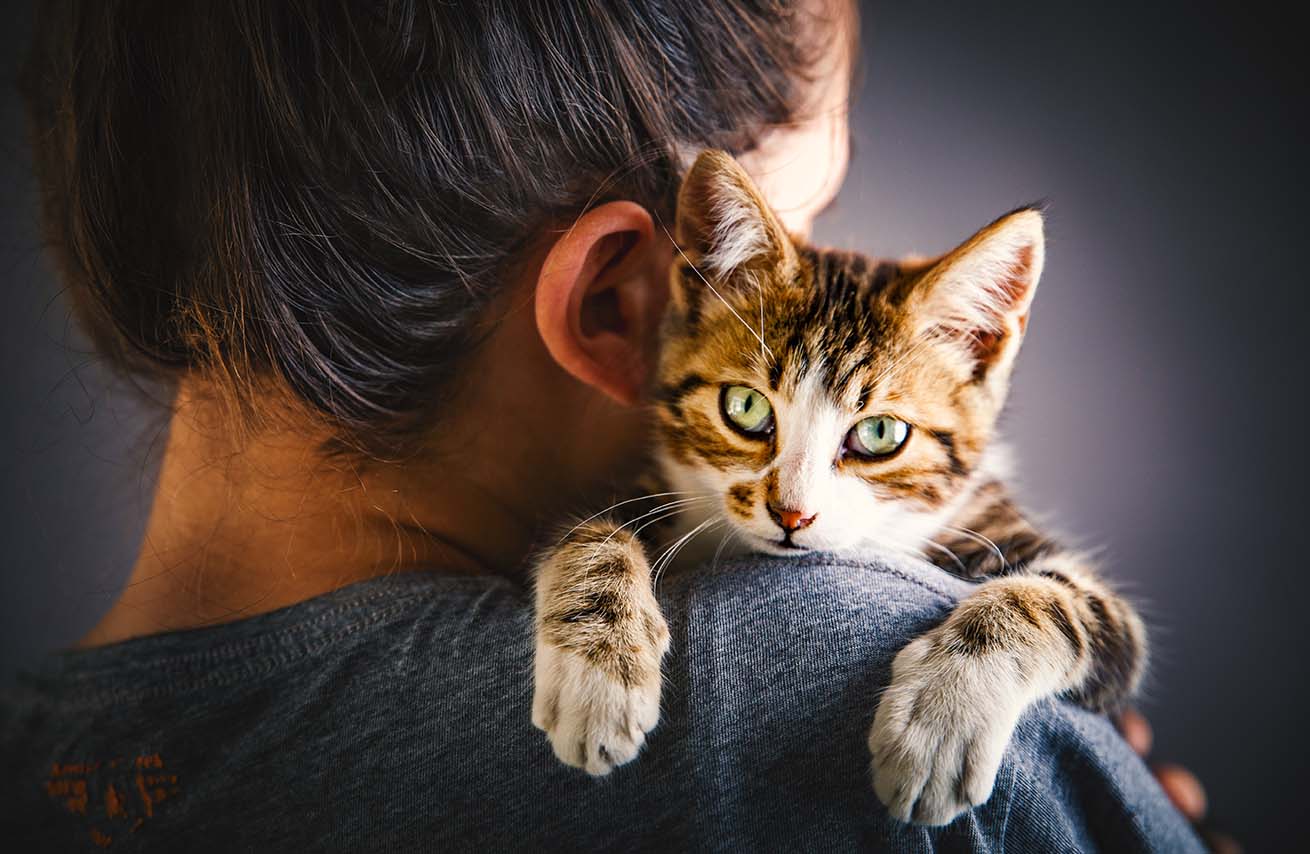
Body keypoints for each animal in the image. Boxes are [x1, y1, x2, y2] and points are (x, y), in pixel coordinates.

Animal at [531, 149, 1147, 822]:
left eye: (879, 433)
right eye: (744, 406)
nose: (791, 514)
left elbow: (1056, 603)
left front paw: (939, 719)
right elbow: (594, 529)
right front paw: (597, 674)